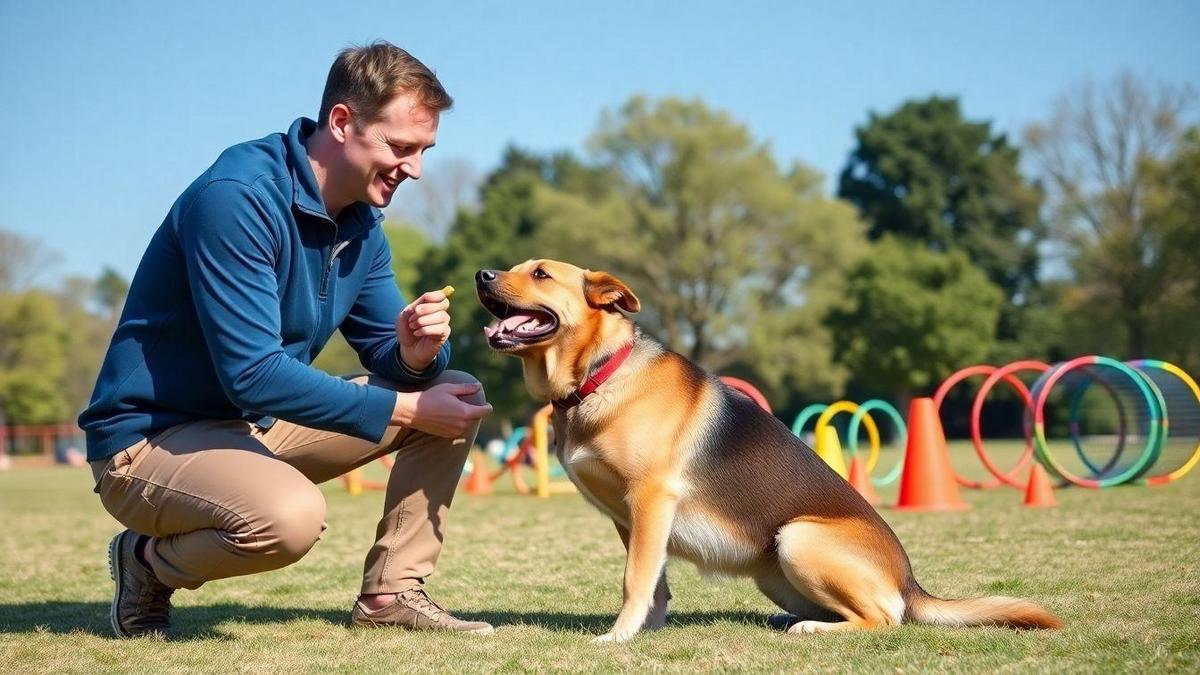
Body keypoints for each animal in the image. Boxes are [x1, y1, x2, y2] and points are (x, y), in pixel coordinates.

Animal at [472, 258, 1056, 638]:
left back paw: (814, 630)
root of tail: (911, 584)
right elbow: (654, 583)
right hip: (775, 570)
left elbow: (635, 579)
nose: (481, 275)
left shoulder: (651, 501)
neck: (599, 374)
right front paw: (647, 631)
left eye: (541, 273)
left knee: (884, 620)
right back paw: (799, 618)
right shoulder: (632, 519)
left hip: (797, 538)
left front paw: (618, 637)